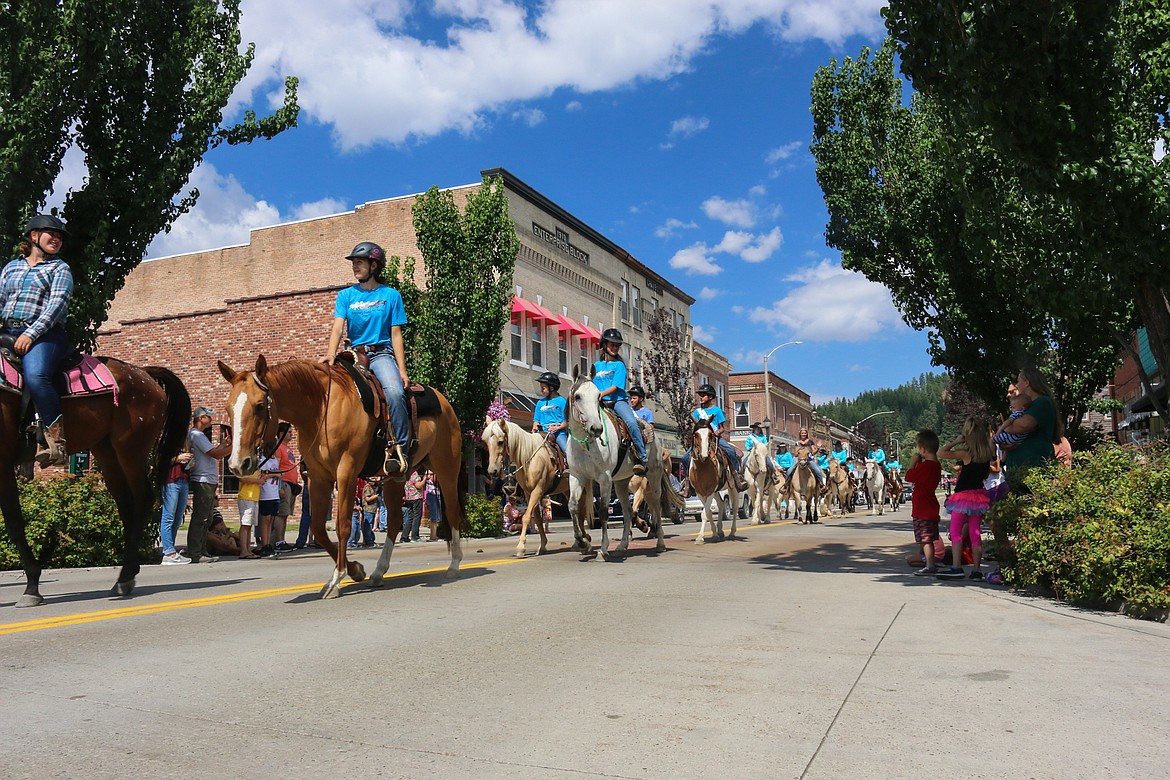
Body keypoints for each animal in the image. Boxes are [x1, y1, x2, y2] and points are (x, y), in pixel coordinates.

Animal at [0, 360, 189, 608]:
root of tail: (143, 373)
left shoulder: (2, 464)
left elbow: (14, 524)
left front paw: (32, 586)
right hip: (106, 451)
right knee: (126, 504)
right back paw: (128, 573)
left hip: (130, 449)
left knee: (143, 499)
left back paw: (124, 577)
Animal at [217, 357, 463, 603]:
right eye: (228, 409)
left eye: (259, 406)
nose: (238, 464)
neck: (320, 409)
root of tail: (444, 402)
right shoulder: (318, 477)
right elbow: (318, 527)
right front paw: (355, 569)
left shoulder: (346, 472)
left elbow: (342, 526)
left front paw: (337, 579)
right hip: (396, 479)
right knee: (394, 521)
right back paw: (378, 572)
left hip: (447, 470)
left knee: (452, 513)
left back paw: (454, 565)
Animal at [477, 418, 563, 558]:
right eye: (486, 442)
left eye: (500, 442)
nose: (492, 471)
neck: (529, 459)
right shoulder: (529, 493)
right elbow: (537, 519)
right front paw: (542, 546)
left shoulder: (538, 490)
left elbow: (526, 517)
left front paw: (521, 547)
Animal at [566, 369, 669, 558]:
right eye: (577, 396)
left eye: (598, 396)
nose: (596, 428)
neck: (586, 444)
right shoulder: (577, 476)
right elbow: (573, 507)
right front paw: (582, 543)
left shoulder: (604, 478)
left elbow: (603, 511)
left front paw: (603, 549)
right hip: (621, 483)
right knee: (627, 512)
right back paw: (622, 545)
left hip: (653, 476)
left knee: (656, 506)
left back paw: (660, 543)